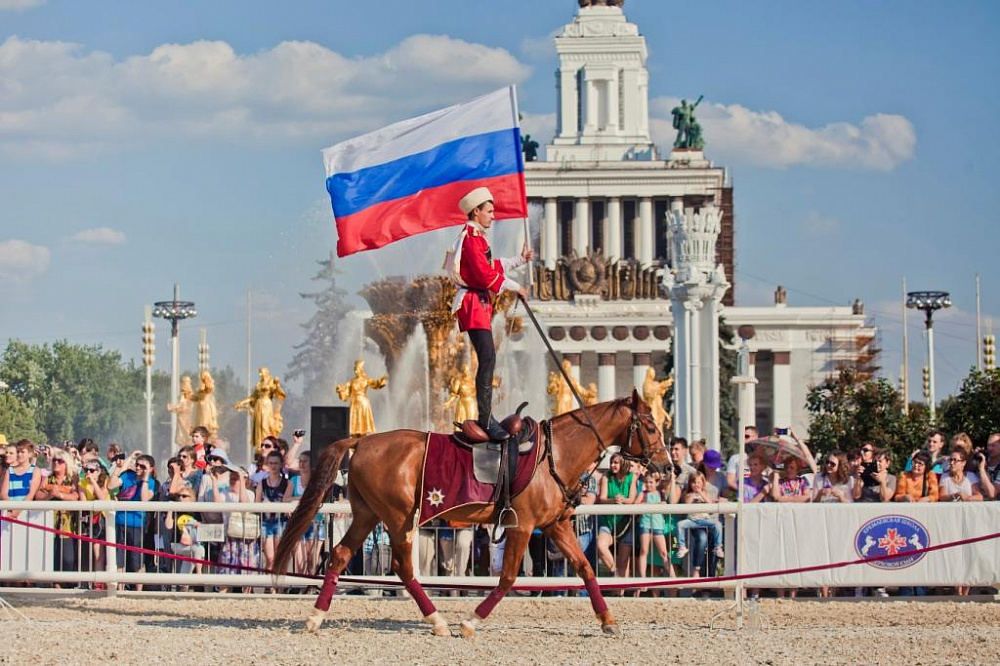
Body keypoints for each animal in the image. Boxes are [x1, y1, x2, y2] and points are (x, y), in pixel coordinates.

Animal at [274, 390, 664, 640]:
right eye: (650, 426)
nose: (667, 466)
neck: (554, 455)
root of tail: (363, 440)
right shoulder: (522, 526)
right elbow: (507, 578)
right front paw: (471, 622)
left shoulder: (555, 526)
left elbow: (585, 568)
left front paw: (608, 620)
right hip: (399, 518)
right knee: (403, 567)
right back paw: (437, 621)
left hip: (368, 514)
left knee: (340, 555)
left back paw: (316, 617)